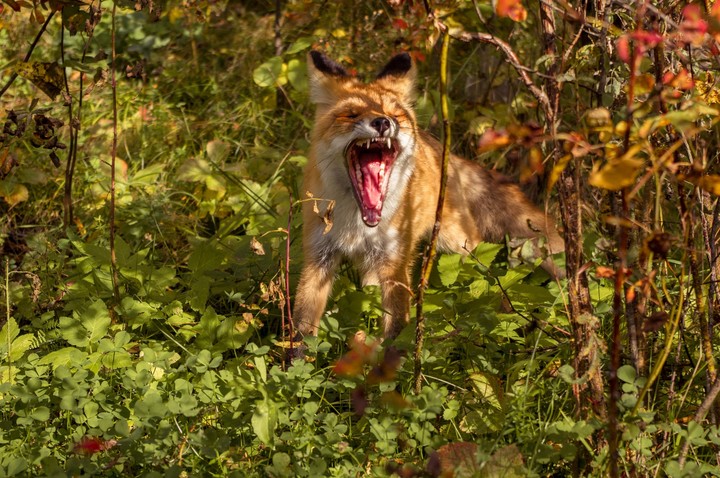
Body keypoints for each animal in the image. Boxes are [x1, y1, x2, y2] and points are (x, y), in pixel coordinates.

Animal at [292, 50, 564, 344]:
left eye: (394, 114)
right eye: (351, 114)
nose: (383, 122)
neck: (357, 221)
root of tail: (441, 148)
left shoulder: (395, 262)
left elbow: (396, 330)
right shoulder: (318, 256)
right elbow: (302, 327)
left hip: (458, 242)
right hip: (373, 265)